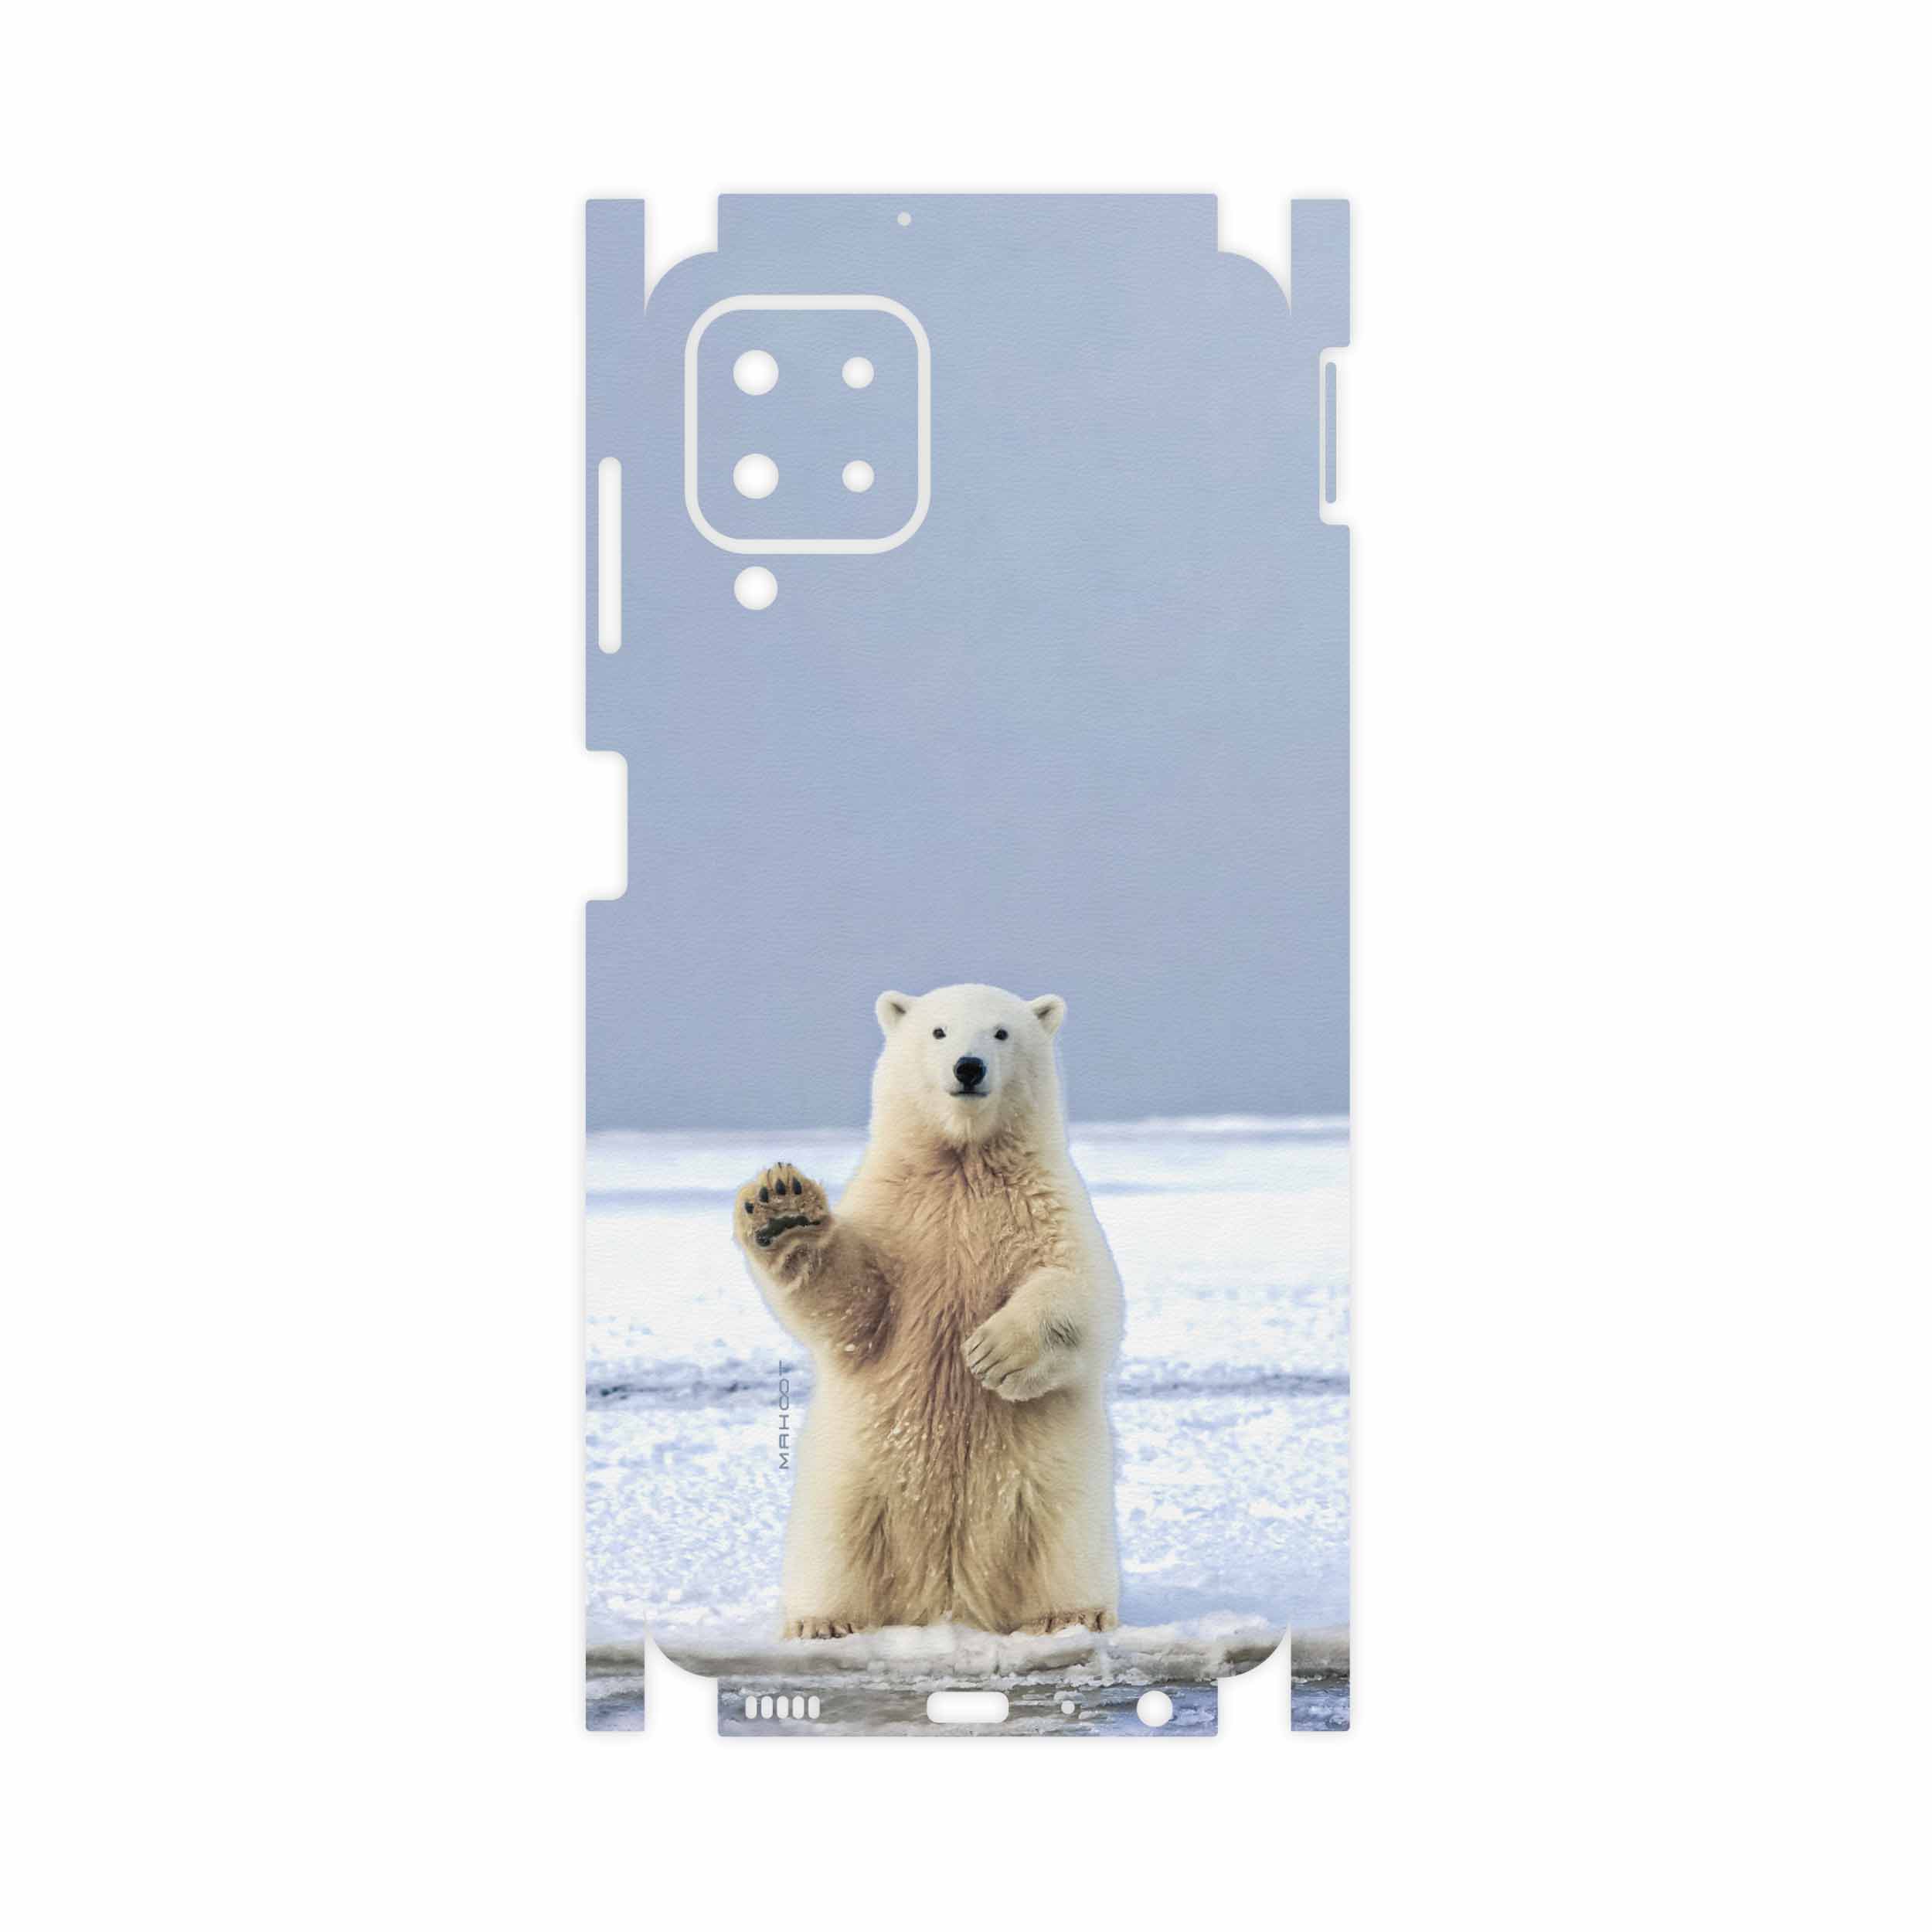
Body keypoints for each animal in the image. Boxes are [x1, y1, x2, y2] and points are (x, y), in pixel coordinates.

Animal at [733, 983, 1123, 1640]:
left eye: (1001, 1032)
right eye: (939, 1031)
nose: (969, 1068)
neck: (963, 1163)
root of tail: (947, 1600)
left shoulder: (1046, 1205)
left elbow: (1084, 1291)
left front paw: (992, 1353)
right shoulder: (899, 1214)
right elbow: (854, 1305)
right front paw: (782, 1209)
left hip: (1056, 1487)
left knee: (1063, 1542)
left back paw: (1071, 1615)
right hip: (852, 1483)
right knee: (834, 1546)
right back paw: (823, 1621)